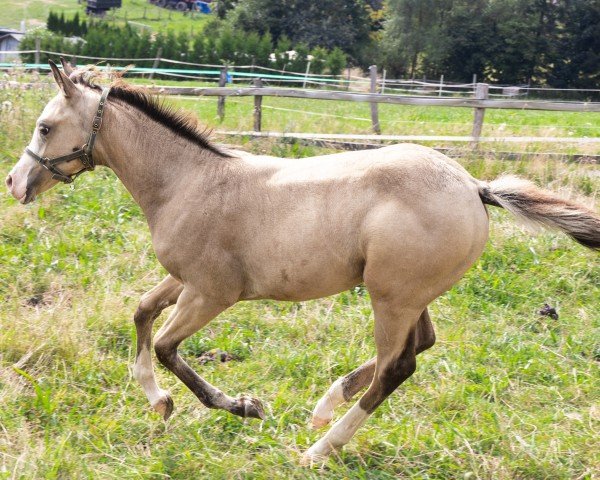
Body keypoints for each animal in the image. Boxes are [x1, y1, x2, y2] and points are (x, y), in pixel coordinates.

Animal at [5, 60, 600, 462]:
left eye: (44, 127)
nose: (13, 182)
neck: (187, 181)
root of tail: (474, 187)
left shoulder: (213, 292)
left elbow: (169, 346)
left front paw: (243, 405)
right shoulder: (184, 279)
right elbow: (141, 313)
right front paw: (158, 402)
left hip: (390, 297)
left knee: (398, 366)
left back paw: (319, 449)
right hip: (408, 296)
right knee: (420, 345)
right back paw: (324, 407)